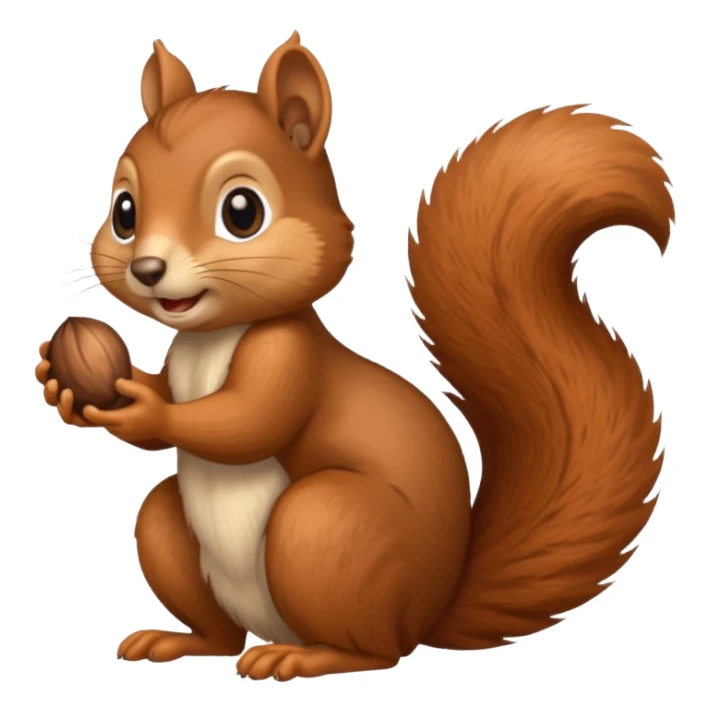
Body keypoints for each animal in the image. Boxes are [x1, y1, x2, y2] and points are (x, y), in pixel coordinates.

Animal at [35, 34, 673, 681]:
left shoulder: (290, 356)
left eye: (242, 211)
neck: (213, 335)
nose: (147, 268)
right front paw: (59, 384)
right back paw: (179, 641)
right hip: (180, 533)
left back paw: (303, 657)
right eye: (124, 212)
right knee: (219, 630)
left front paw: (144, 409)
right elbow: (173, 402)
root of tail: (429, 612)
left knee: (377, 654)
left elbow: (248, 421)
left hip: (326, 528)